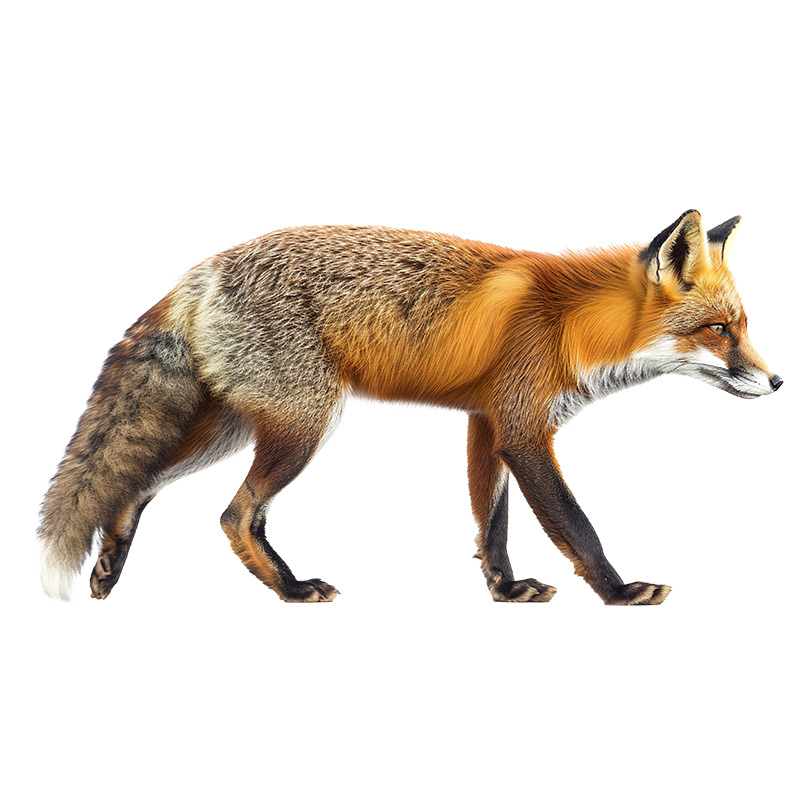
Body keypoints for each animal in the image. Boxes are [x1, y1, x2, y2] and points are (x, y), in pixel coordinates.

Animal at [38, 210, 781, 605]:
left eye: (742, 326)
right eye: (720, 330)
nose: (777, 383)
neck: (573, 322)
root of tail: (200, 272)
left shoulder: (487, 425)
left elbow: (492, 528)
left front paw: (506, 591)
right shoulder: (524, 429)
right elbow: (577, 526)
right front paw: (620, 594)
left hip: (235, 424)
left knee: (135, 485)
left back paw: (109, 567)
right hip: (305, 424)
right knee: (234, 513)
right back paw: (291, 590)